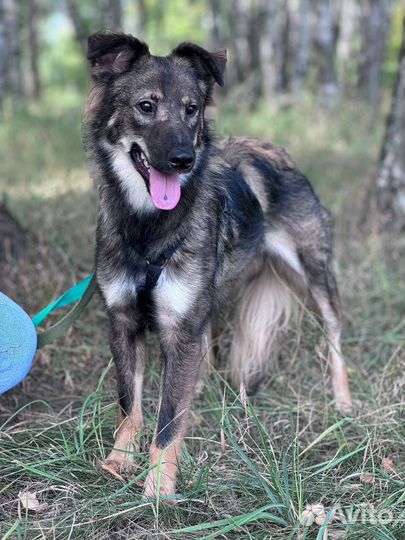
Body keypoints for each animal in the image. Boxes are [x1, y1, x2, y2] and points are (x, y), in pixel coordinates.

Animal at [84, 32, 350, 498]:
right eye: (146, 106)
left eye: (192, 109)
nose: (183, 160)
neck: (148, 228)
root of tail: (276, 151)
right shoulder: (123, 320)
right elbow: (129, 403)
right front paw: (119, 462)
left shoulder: (180, 328)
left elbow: (168, 420)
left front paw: (157, 491)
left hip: (315, 274)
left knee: (334, 334)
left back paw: (343, 401)